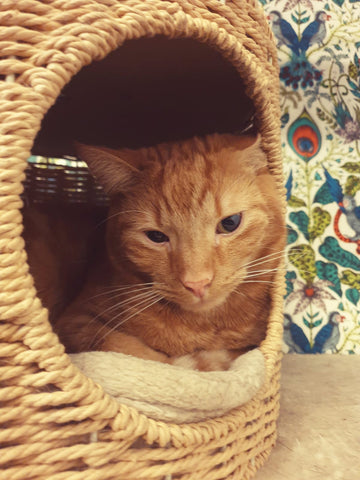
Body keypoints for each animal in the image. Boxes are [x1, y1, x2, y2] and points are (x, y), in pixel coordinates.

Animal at [48, 133, 284, 370]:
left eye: (230, 223)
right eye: (156, 237)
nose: (197, 284)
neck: (204, 326)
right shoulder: (77, 321)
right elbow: (132, 353)